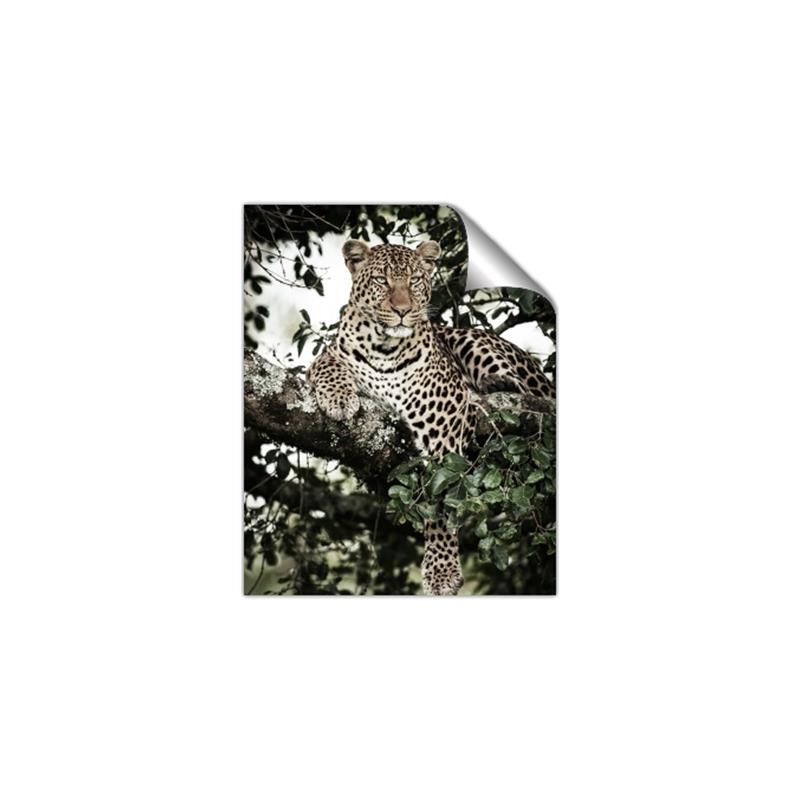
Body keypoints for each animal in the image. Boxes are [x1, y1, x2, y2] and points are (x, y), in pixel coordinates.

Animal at [308, 239, 554, 595]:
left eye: (414, 281)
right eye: (381, 280)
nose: (402, 310)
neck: (384, 347)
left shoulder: (445, 420)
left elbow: (441, 500)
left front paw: (441, 570)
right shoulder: (329, 356)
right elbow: (329, 365)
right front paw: (339, 398)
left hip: (471, 341)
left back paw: (494, 385)